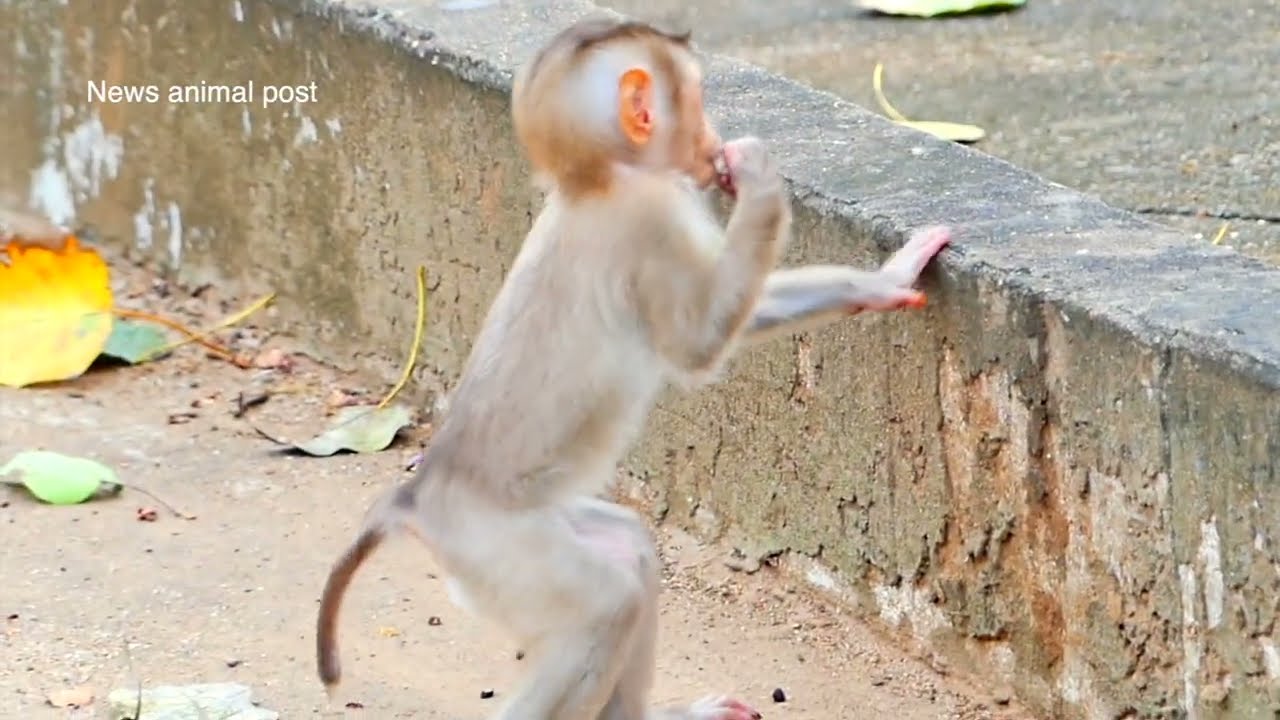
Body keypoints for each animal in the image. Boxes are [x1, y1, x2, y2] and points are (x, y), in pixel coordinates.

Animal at [316, 17, 950, 720]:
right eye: (695, 100)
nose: (712, 142)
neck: (596, 180)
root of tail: (419, 497)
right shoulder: (650, 218)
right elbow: (697, 344)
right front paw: (760, 177)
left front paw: (885, 279)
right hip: (499, 552)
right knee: (606, 606)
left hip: (534, 534)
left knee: (632, 552)